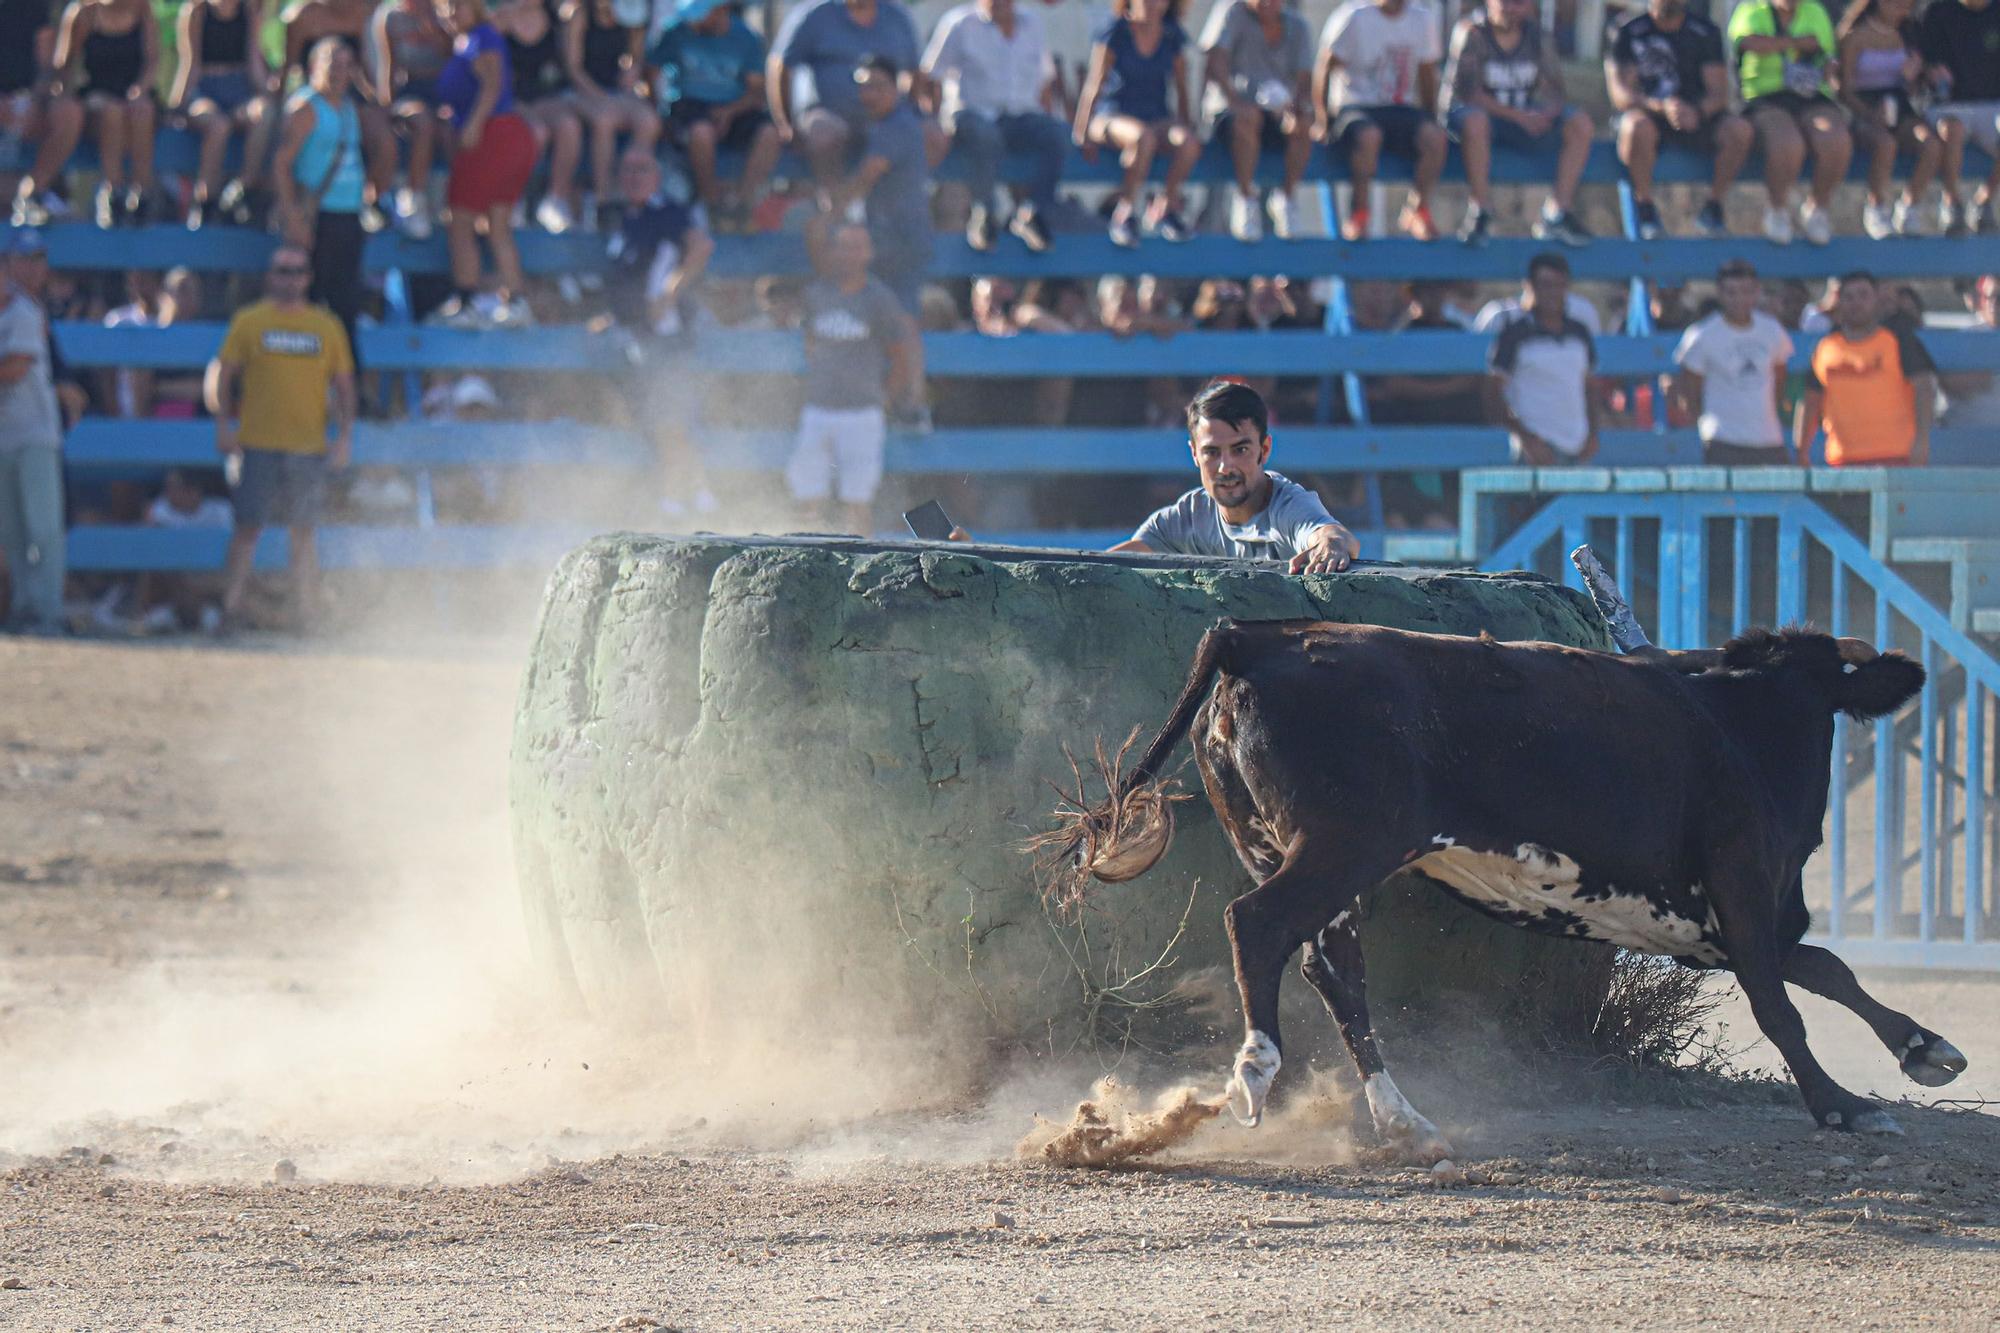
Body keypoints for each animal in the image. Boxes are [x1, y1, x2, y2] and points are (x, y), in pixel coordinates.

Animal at [1048, 616, 1968, 1144]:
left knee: (1333, 970)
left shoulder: (1716, 926)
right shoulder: (1742, 884)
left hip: (1290, 849)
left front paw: (1926, 1047)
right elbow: (1781, 1004)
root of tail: (1259, 638)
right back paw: (1256, 1072)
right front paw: (1842, 1103)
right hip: (1345, 844)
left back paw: (1402, 1117)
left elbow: (1825, 967)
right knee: (1259, 926)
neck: (1746, 715)